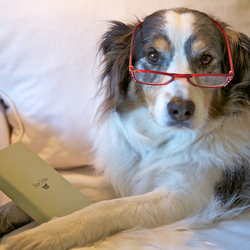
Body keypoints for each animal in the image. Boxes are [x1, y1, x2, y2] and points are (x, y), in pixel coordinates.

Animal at [0, 7, 250, 250]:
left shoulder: (190, 196)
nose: (181, 110)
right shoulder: (124, 178)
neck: (163, 141)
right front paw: (8, 212)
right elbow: (77, 185)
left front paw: (49, 233)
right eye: (153, 56)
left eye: (206, 59)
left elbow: (108, 207)